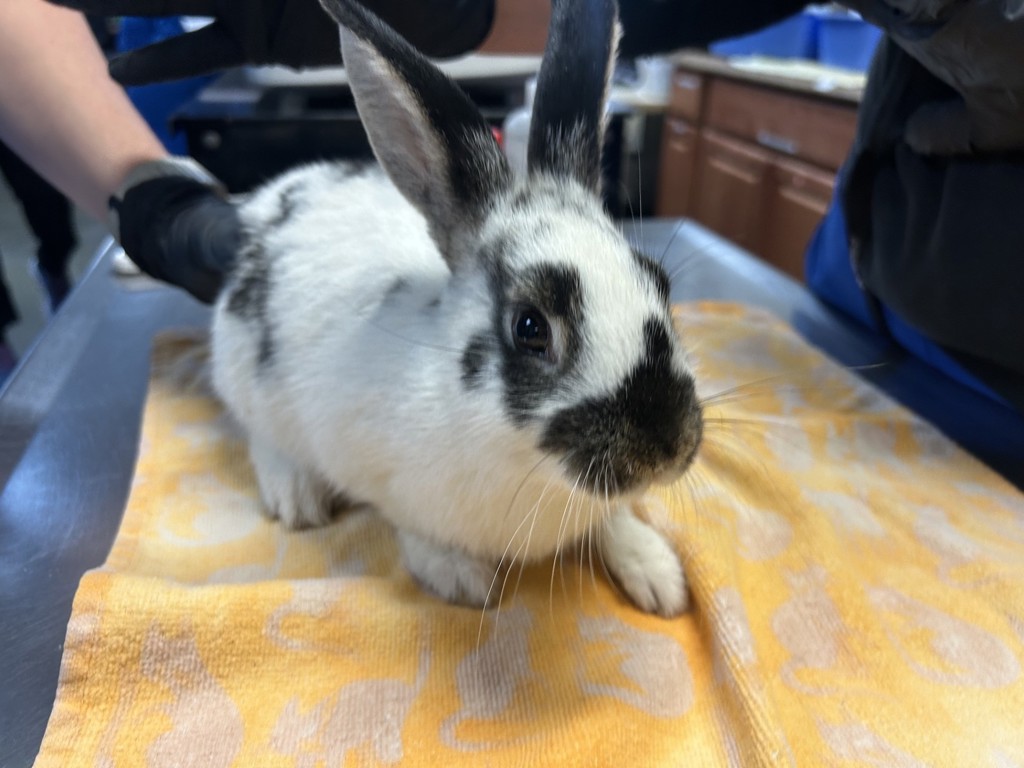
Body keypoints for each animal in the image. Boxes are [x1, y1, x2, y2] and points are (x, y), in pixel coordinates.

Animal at [210, 0, 704, 617]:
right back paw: (296, 497)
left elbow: (611, 521)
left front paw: (658, 576)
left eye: (660, 283)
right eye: (530, 327)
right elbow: (410, 527)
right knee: (260, 434)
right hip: (249, 378)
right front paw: (460, 578)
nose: (668, 447)